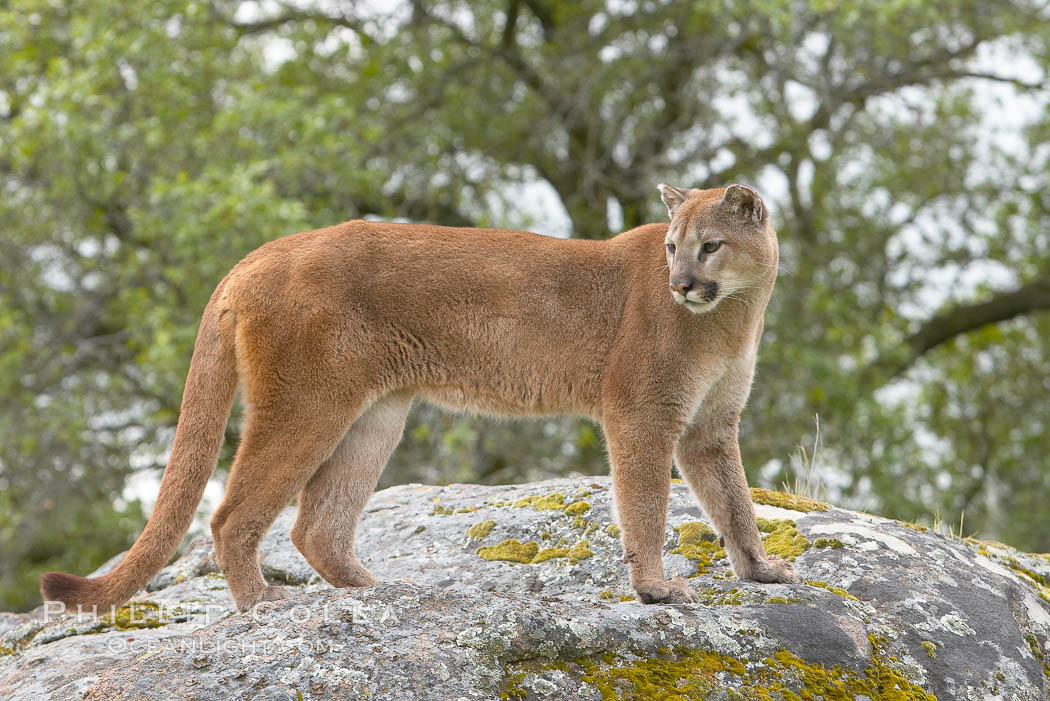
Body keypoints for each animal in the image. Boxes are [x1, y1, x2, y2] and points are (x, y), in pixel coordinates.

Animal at [38, 183, 793, 608]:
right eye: (670, 247)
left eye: (709, 245)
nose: (681, 284)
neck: (735, 313)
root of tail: (261, 253)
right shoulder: (644, 413)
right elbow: (647, 505)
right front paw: (656, 588)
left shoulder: (709, 424)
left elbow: (734, 501)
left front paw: (761, 571)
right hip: (307, 405)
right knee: (231, 517)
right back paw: (261, 604)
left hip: (374, 414)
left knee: (316, 526)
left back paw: (380, 590)